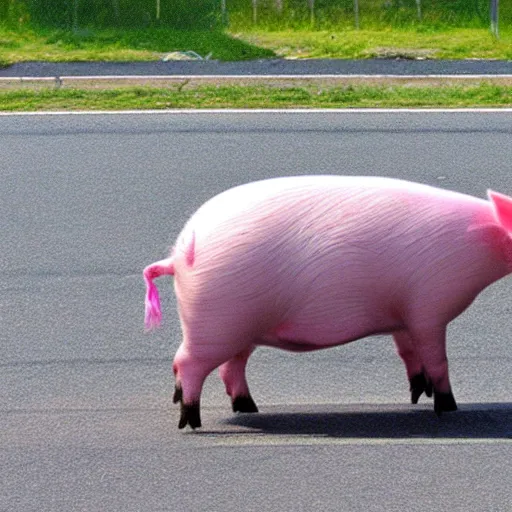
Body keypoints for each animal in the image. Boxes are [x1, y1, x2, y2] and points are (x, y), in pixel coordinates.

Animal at [143, 176, 512, 428]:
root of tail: (180, 254)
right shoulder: (429, 306)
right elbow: (438, 360)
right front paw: (448, 406)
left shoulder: (404, 316)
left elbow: (409, 353)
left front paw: (419, 395)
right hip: (215, 321)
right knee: (187, 363)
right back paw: (192, 421)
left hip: (240, 328)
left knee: (229, 368)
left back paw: (248, 408)